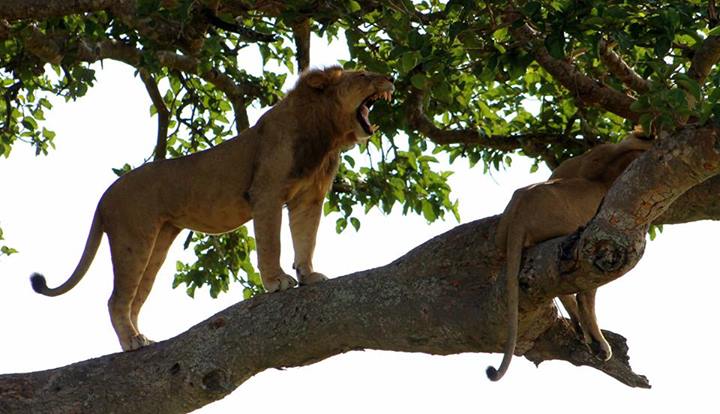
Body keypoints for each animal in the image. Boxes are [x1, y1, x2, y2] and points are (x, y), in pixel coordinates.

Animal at [29, 66, 394, 350]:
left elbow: (306, 240)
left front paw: (309, 275)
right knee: (116, 299)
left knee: (134, 297)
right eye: (363, 75)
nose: (390, 78)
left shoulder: (308, 199)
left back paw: (140, 339)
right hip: (133, 237)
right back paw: (132, 341)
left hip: (158, 242)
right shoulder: (266, 194)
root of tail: (104, 198)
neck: (326, 137)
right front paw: (277, 281)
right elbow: (271, 243)